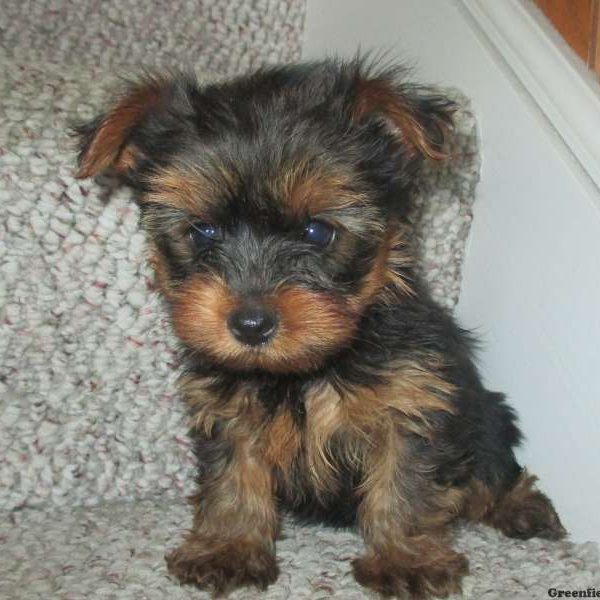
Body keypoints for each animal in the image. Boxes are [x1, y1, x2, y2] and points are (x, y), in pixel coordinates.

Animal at [74, 57, 564, 600]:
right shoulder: (227, 409)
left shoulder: (413, 400)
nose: (250, 323)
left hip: (483, 411)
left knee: (492, 468)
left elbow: (407, 483)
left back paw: (520, 505)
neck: (303, 370)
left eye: (317, 232)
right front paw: (229, 546)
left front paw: (405, 559)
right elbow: (232, 477)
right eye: (202, 232)